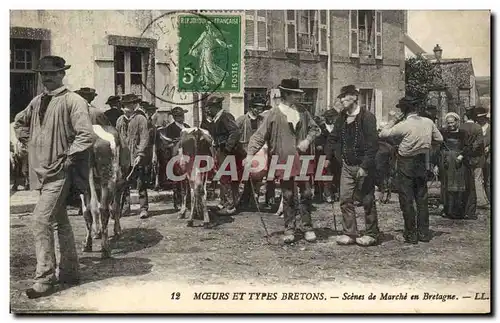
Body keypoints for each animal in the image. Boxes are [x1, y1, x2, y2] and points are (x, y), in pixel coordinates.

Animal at [81, 125, 129, 260]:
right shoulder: (120, 185)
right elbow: (116, 207)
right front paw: (117, 231)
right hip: (109, 179)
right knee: (103, 209)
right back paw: (105, 248)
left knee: (89, 211)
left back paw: (91, 245)